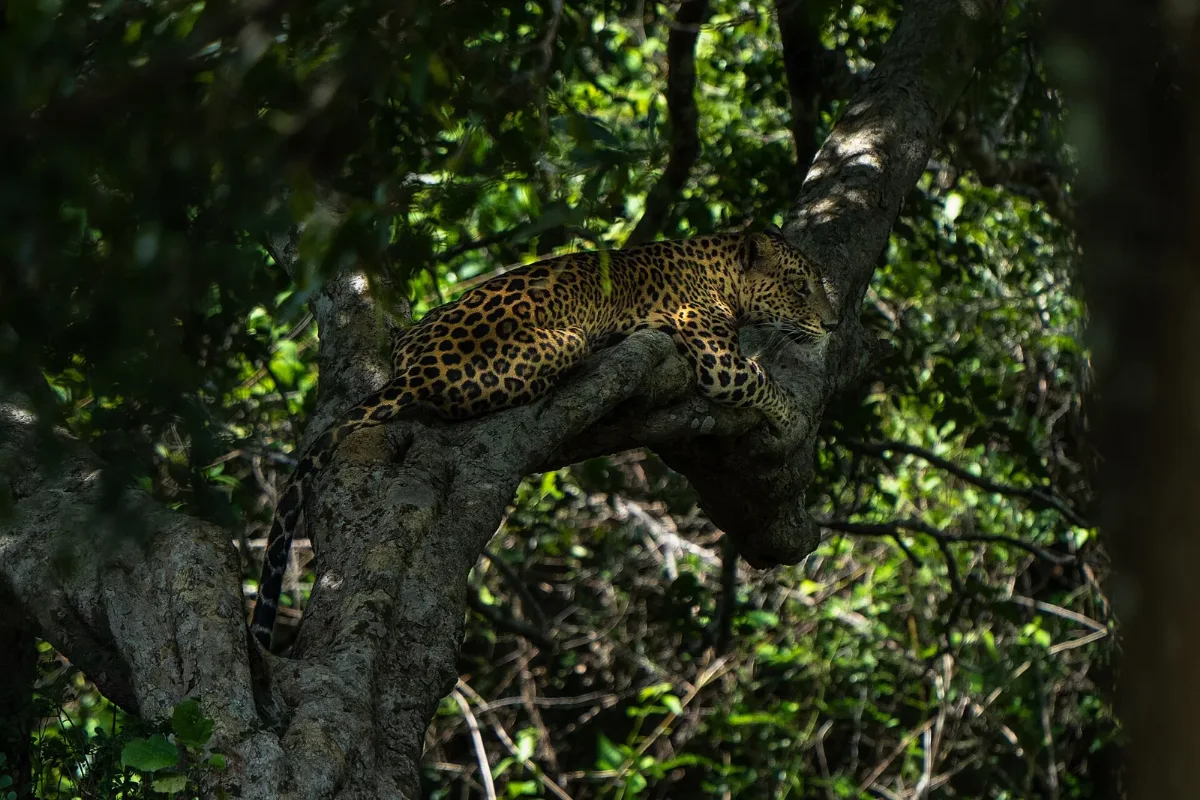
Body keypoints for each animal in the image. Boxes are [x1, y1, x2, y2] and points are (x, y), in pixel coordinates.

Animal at [250, 226, 840, 648]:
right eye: (800, 287)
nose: (834, 326)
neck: (719, 268)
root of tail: (415, 368)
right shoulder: (717, 359)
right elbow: (763, 380)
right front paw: (792, 420)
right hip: (566, 340)